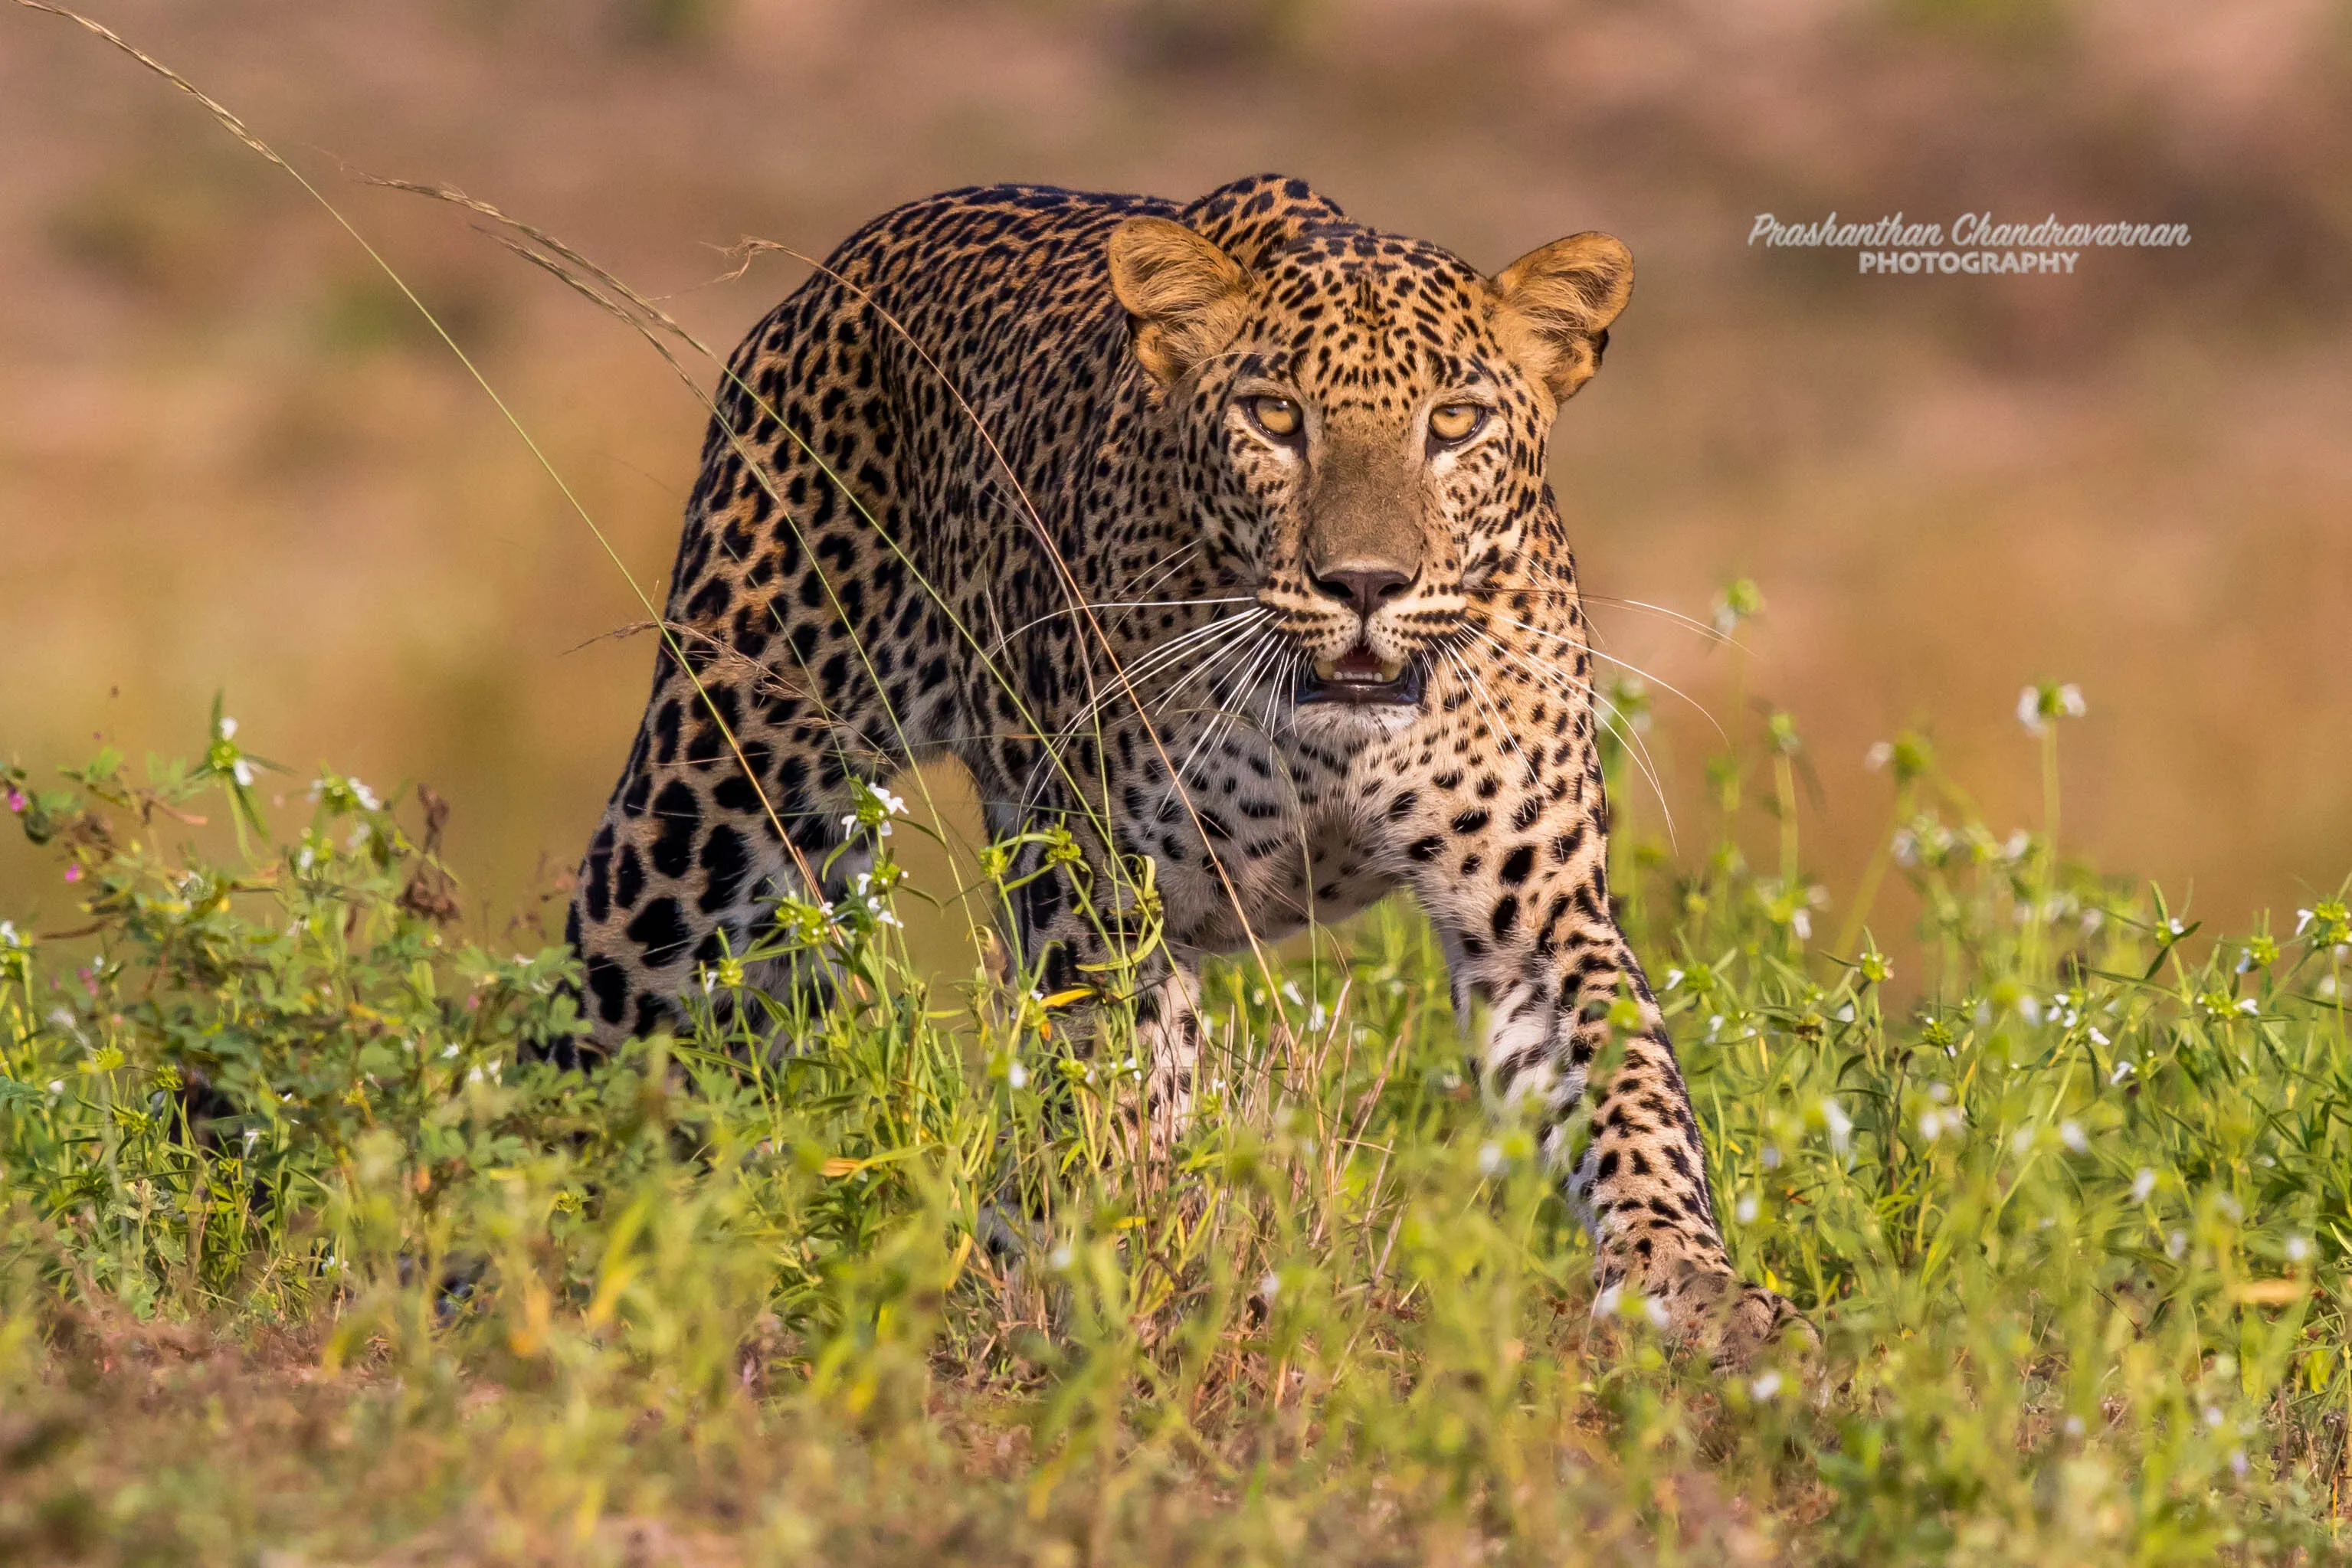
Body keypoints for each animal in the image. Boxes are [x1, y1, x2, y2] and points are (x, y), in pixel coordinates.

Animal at [562, 173, 1808, 1368]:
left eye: (1454, 423)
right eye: (1274, 417)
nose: (1366, 583)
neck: (1330, 734)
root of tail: (838, 268)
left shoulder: (1536, 915)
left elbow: (1631, 1091)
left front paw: (1691, 1282)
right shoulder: (1109, 898)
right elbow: (1121, 1096)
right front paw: (1125, 1269)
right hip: (715, 802)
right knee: (600, 1021)